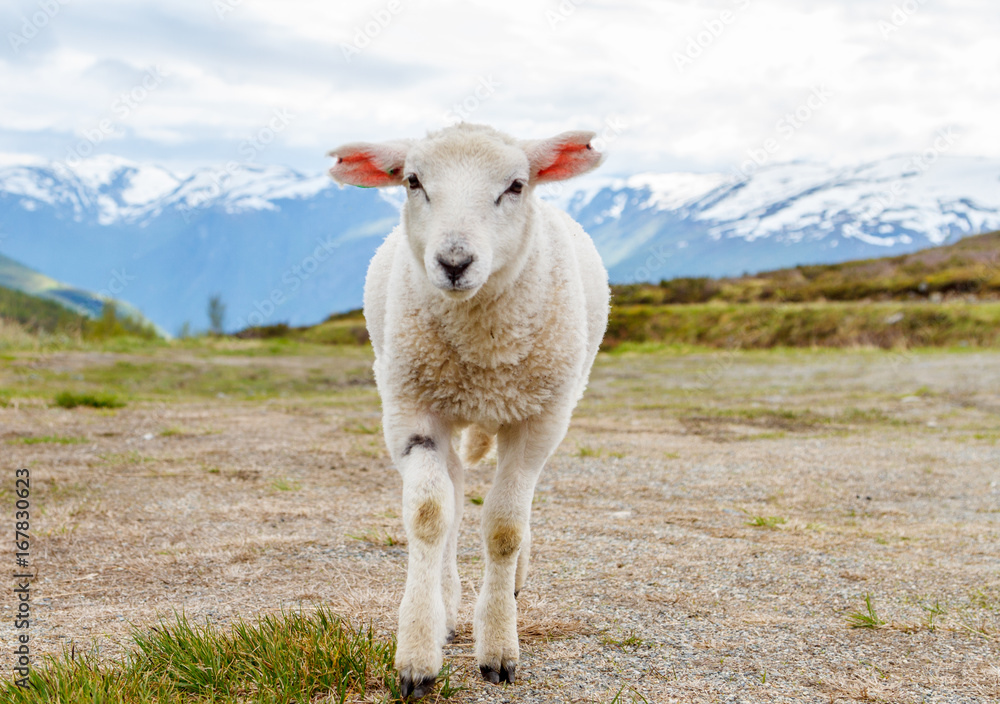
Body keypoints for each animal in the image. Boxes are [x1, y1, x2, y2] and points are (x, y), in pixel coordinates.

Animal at [328, 123, 609, 699]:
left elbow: (504, 528)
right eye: (413, 181)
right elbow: (429, 515)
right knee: (454, 497)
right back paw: (448, 604)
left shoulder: (538, 421)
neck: (482, 350)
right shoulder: (409, 411)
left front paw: (499, 651)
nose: (455, 262)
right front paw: (417, 653)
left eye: (517, 185)